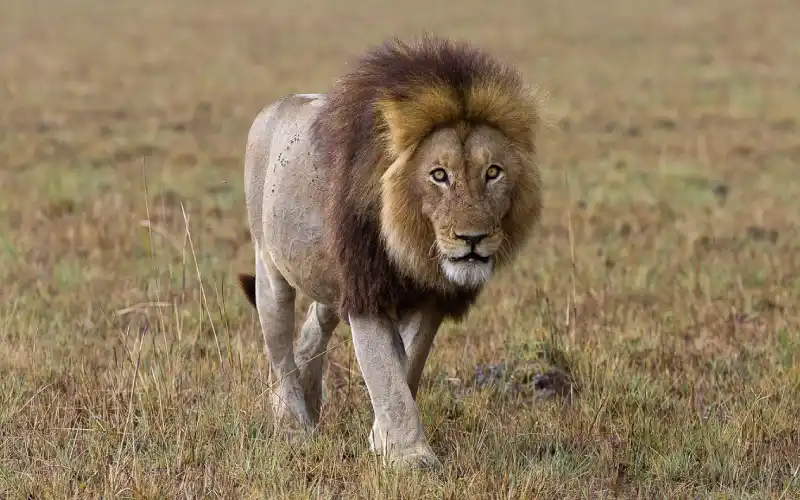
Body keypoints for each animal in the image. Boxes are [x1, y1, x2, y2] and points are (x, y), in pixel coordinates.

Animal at [237, 35, 543, 470]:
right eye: (438, 175)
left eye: (493, 172)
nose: (473, 238)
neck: (412, 245)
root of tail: (274, 107)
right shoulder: (368, 292)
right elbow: (387, 375)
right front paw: (411, 457)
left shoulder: (430, 298)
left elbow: (407, 364)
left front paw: (382, 439)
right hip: (270, 265)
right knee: (278, 345)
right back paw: (293, 424)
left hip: (332, 276)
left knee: (315, 323)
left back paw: (312, 402)